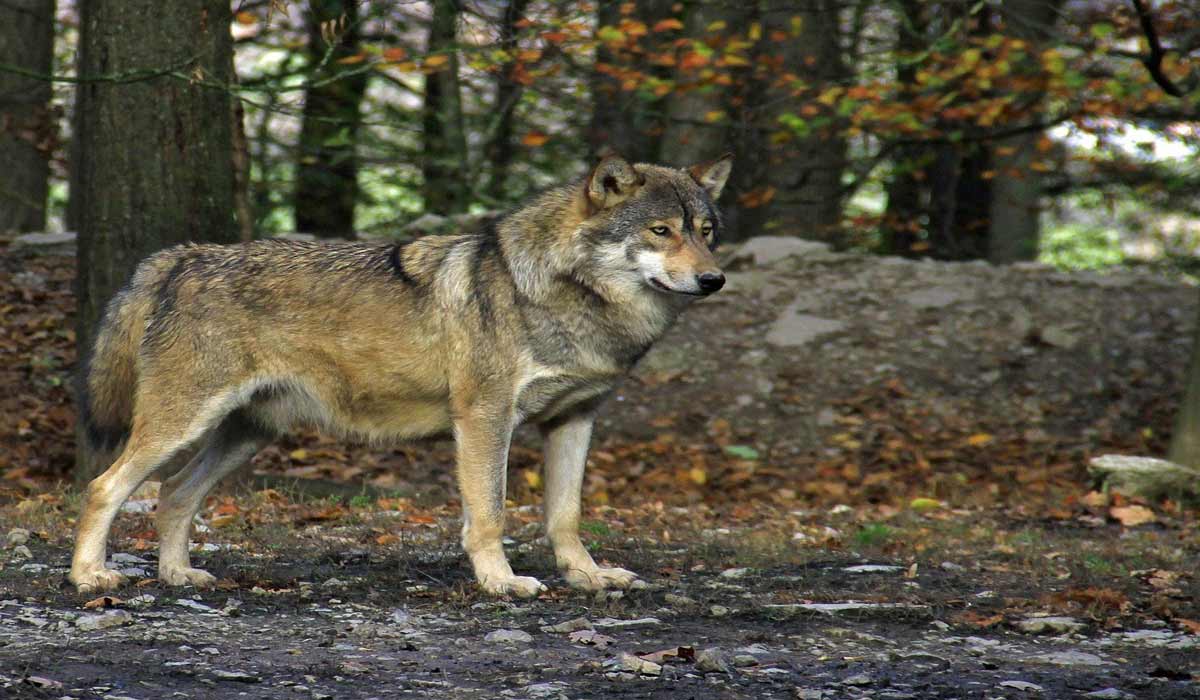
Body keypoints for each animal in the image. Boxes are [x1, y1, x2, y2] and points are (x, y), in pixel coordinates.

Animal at [75, 153, 734, 597]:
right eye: (660, 231)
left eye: (705, 232)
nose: (714, 280)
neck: (564, 295)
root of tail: (183, 256)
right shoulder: (485, 419)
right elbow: (490, 515)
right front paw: (501, 582)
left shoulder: (574, 419)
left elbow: (565, 516)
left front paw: (587, 576)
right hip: (182, 426)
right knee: (105, 486)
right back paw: (89, 576)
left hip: (245, 436)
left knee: (173, 493)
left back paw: (177, 574)